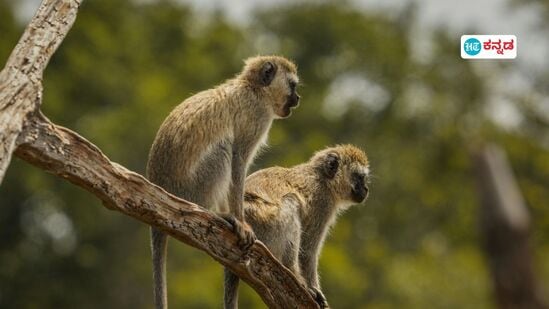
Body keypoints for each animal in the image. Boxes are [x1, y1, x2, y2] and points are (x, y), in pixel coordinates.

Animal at [146, 55, 300, 308]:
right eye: (293, 85)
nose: (298, 98)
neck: (254, 89)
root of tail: (159, 187)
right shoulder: (256, 118)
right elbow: (238, 161)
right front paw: (241, 221)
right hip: (192, 190)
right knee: (223, 148)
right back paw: (213, 213)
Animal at [223, 144, 368, 308]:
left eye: (364, 179)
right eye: (359, 177)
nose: (366, 189)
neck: (323, 179)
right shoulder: (323, 202)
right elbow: (308, 252)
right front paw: (313, 288)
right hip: (264, 224)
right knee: (291, 201)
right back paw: (292, 271)